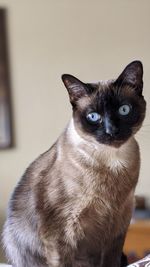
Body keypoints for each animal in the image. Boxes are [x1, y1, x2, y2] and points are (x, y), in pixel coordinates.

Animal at [2, 61, 146, 267]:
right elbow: (62, 262)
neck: (113, 162)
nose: (111, 131)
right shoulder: (61, 235)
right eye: (93, 116)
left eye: (124, 110)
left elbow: (111, 261)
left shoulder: (117, 232)